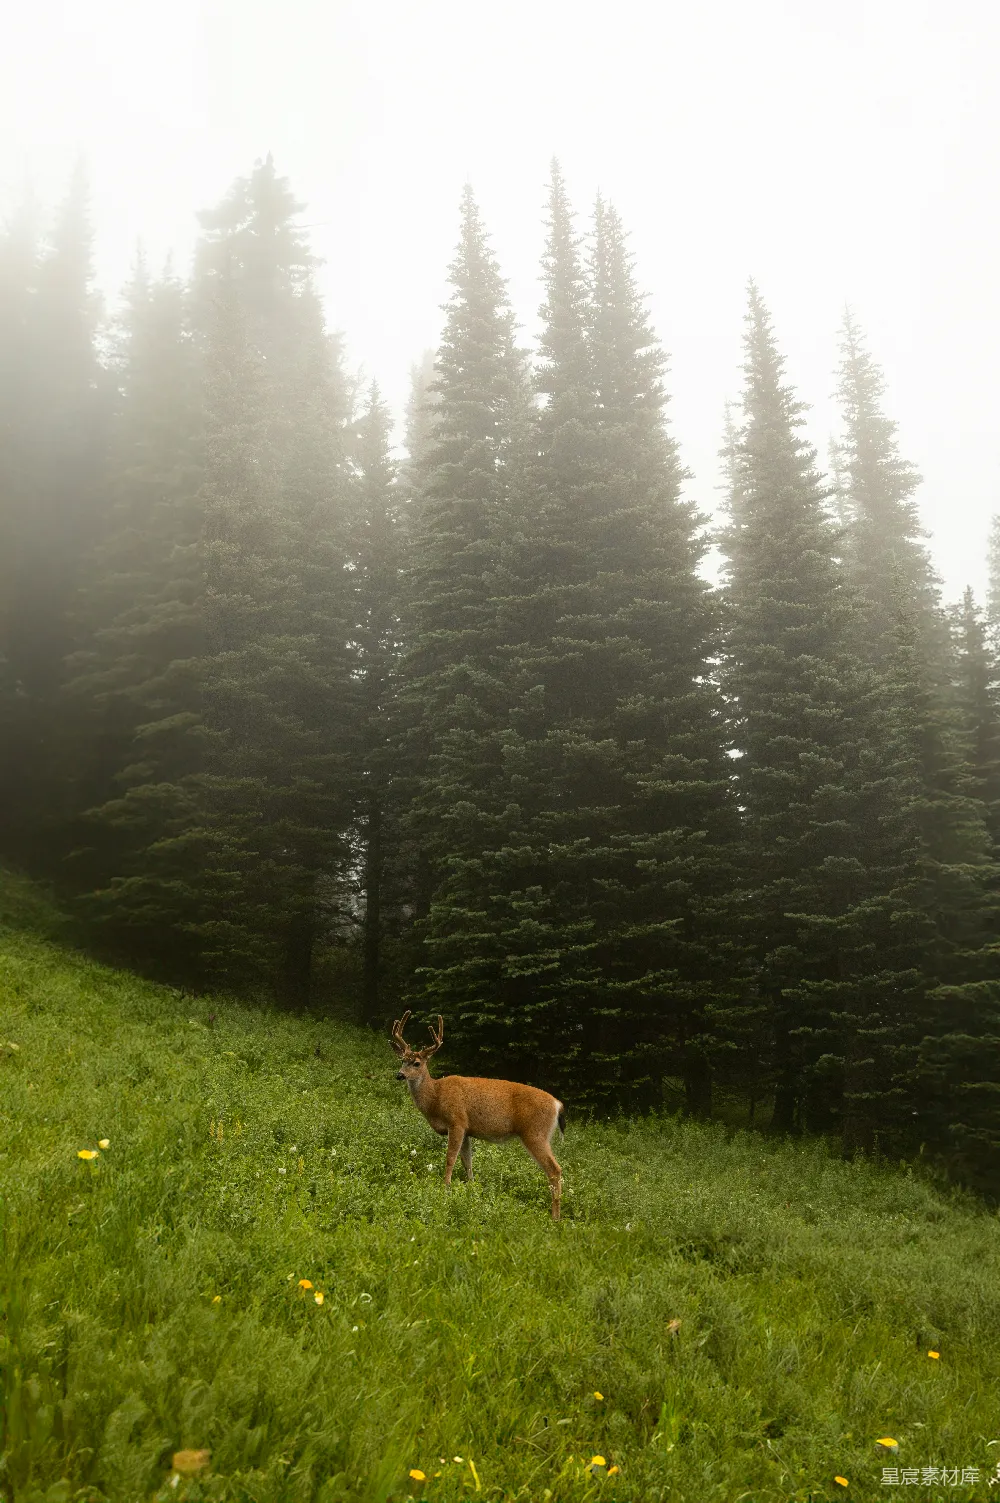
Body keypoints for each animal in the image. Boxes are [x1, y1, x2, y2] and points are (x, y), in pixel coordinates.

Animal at [390, 1011, 565, 1220]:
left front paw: (445, 1189)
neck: (435, 1097)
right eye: (402, 1060)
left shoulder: (456, 1121)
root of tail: (558, 1105)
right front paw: (472, 1192)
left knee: (555, 1170)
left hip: (535, 1133)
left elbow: (450, 1158)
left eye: (416, 1063)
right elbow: (468, 1162)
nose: (399, 1075)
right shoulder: (467, 1129)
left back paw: (555, 1217)